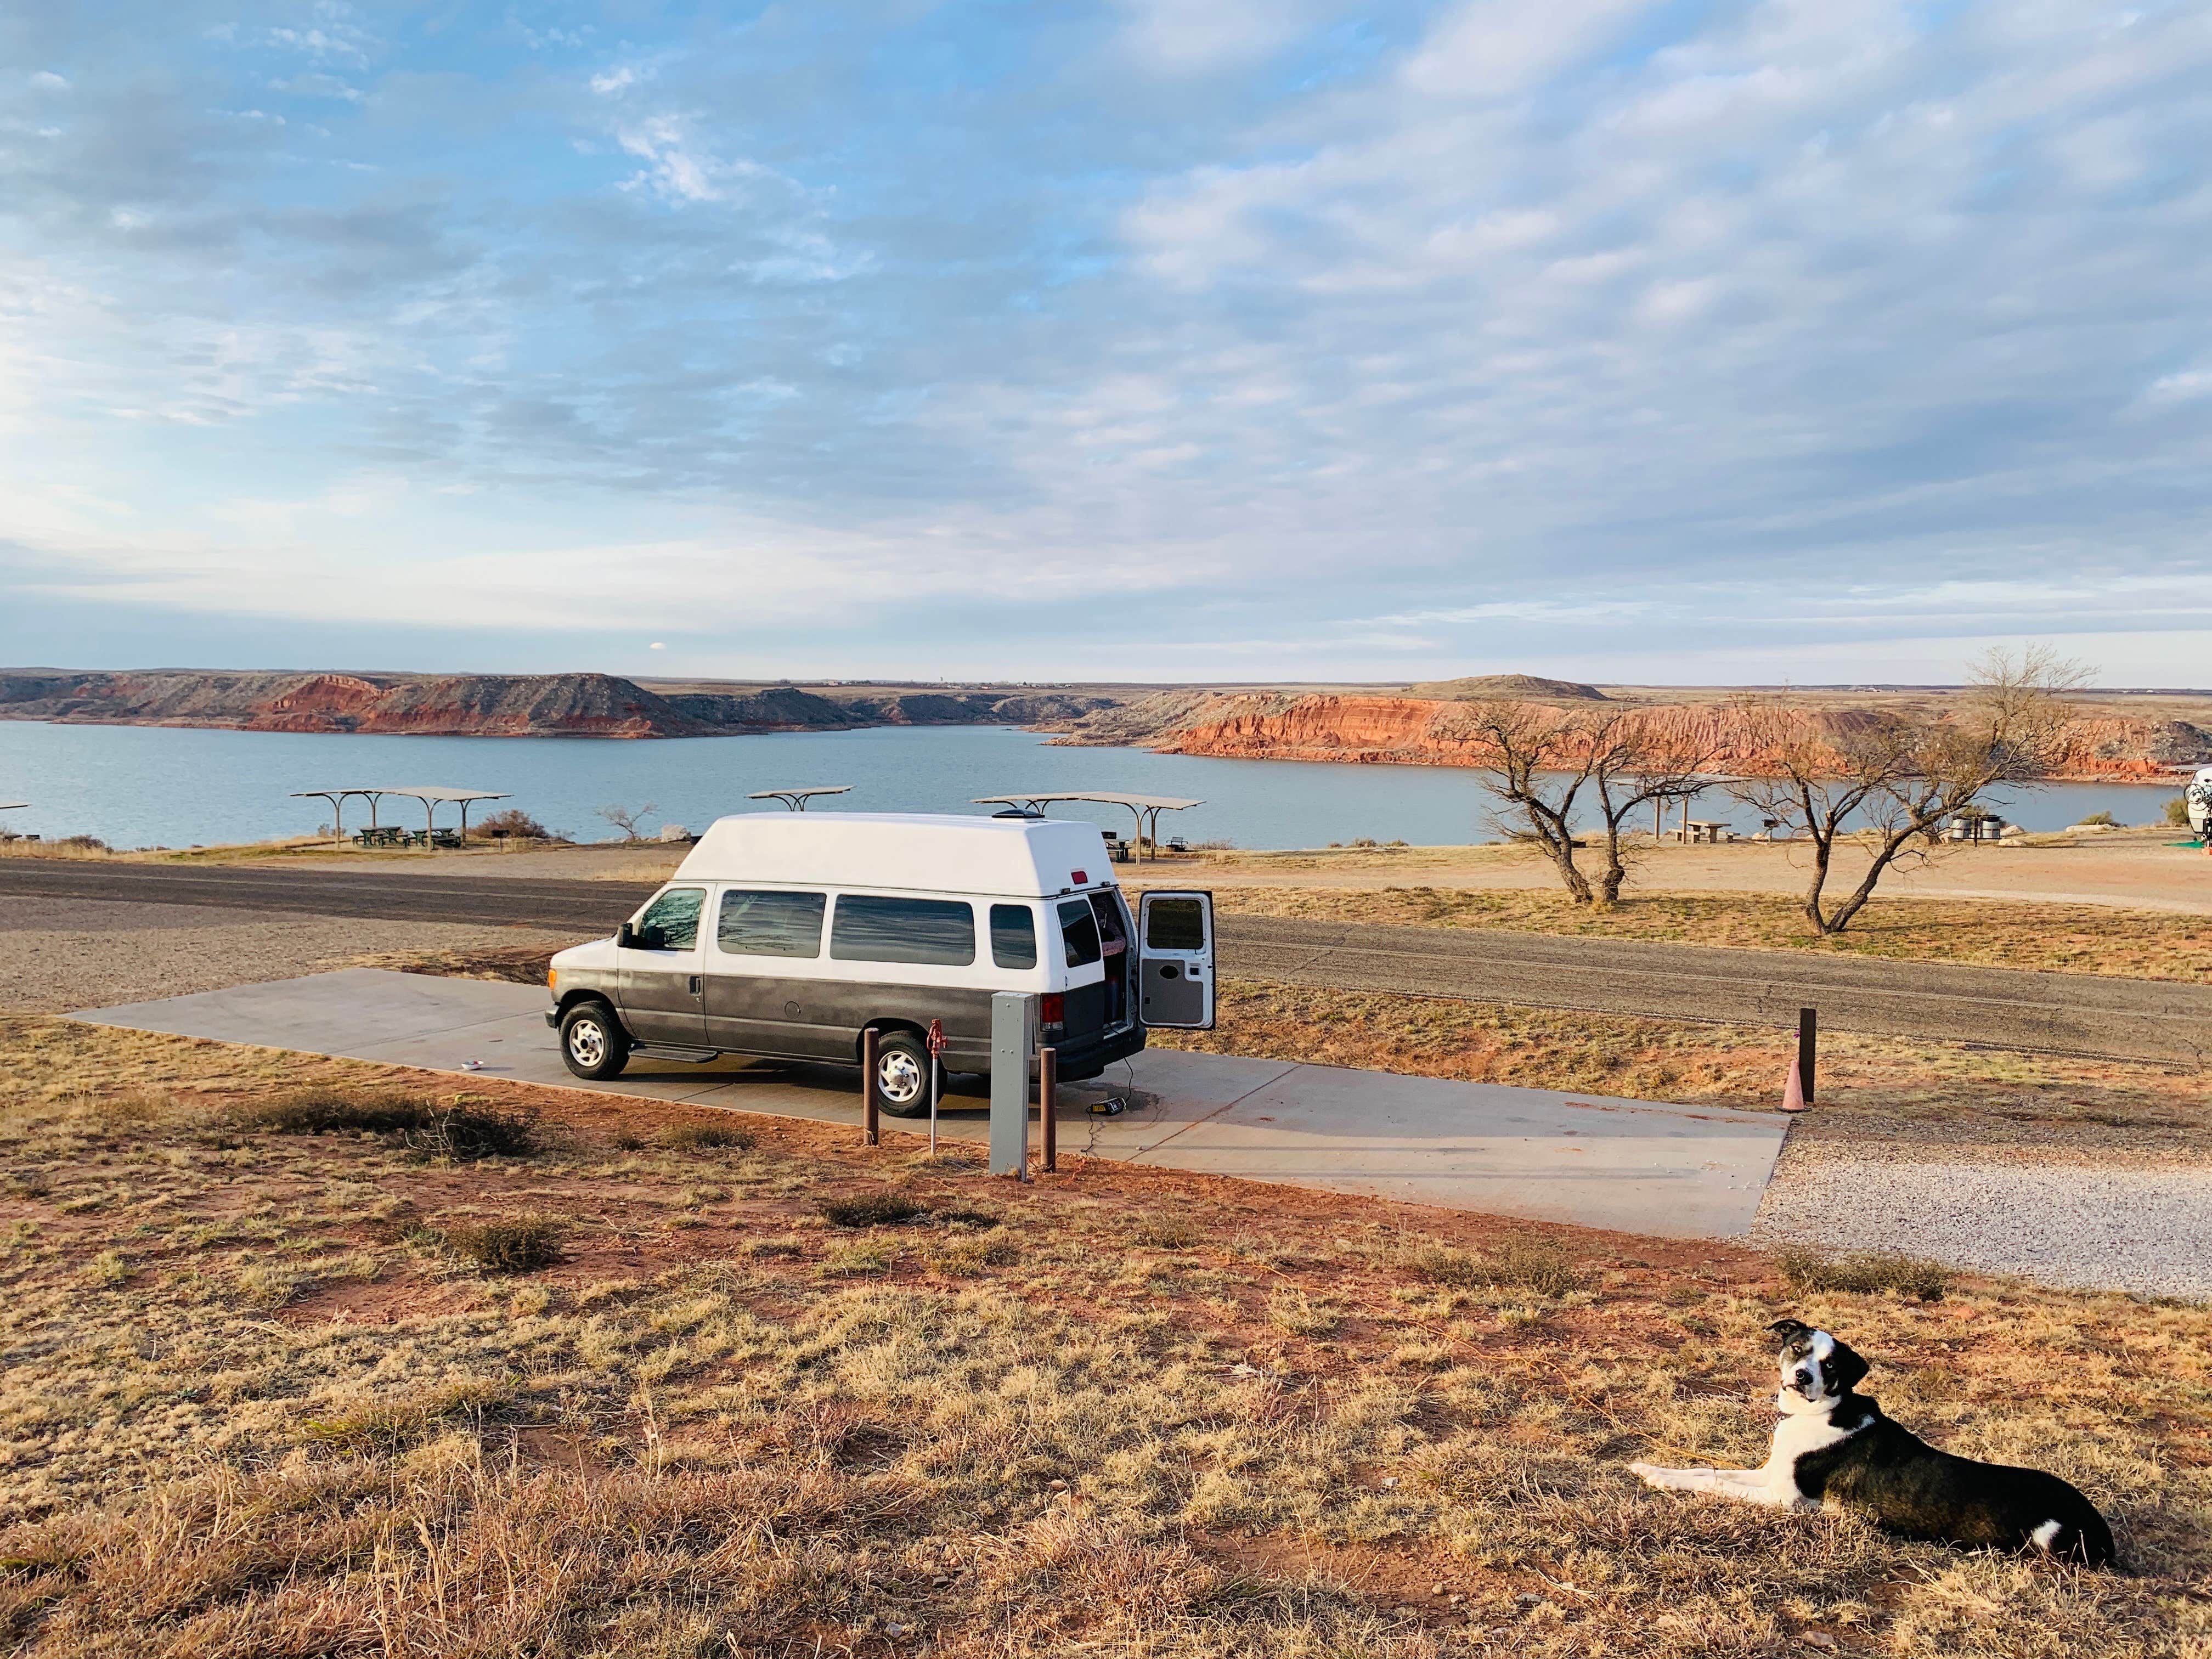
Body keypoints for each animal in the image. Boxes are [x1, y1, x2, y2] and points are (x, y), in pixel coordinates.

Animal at [1637, 1318, 2114, 1566]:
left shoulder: (1786, 1499)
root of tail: (2103, 1532)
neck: (1820, 1412)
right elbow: (1704, 1469)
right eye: (1797, 1348)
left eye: (1830, 1365)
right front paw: (1651, 1471)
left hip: (2047, 1538)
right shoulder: (1769, 1475)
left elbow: (1714, 1482)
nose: (1803, 1377)